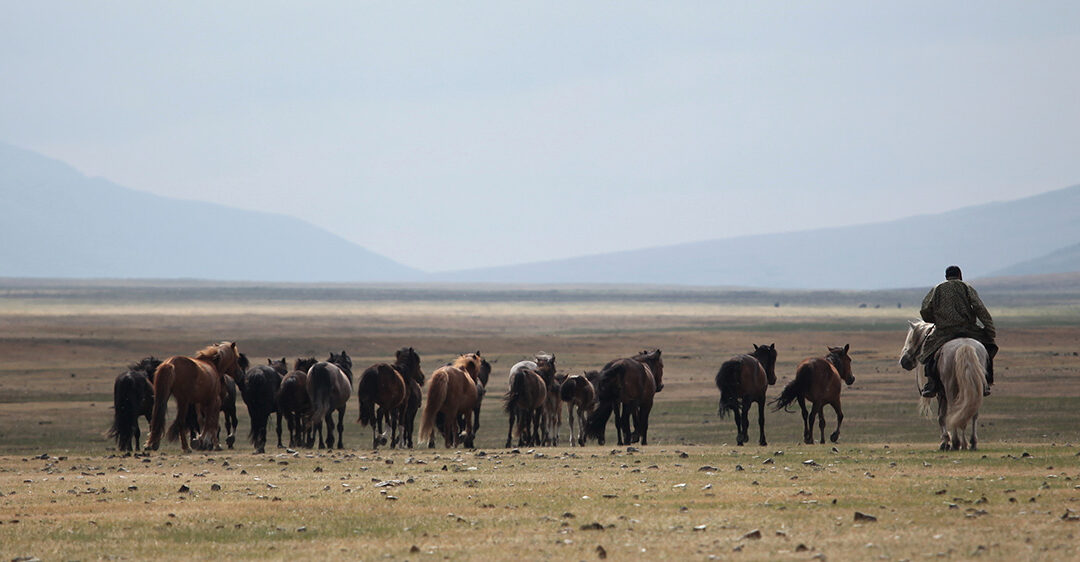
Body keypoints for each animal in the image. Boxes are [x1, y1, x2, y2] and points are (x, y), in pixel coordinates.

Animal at [900, 320, 987, 450]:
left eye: (910, 340)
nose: (903, 361)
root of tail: (965, 346)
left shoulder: (941, 393)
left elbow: (941, 417)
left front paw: (945, 442)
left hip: (950, 387)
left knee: (955, 410)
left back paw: (957, 443)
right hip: (976, 388)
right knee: (972, 412)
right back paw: (972, 443)